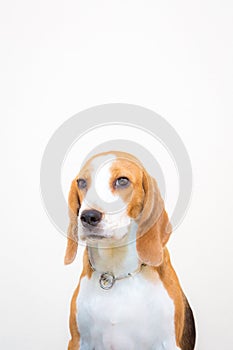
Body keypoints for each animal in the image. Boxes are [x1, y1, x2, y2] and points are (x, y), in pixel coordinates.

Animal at [63, 151, 195, 350]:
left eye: (122, 180)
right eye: (82, 182)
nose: (88, 216)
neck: (115, 274)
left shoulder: (168, 343)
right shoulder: (78, 341)